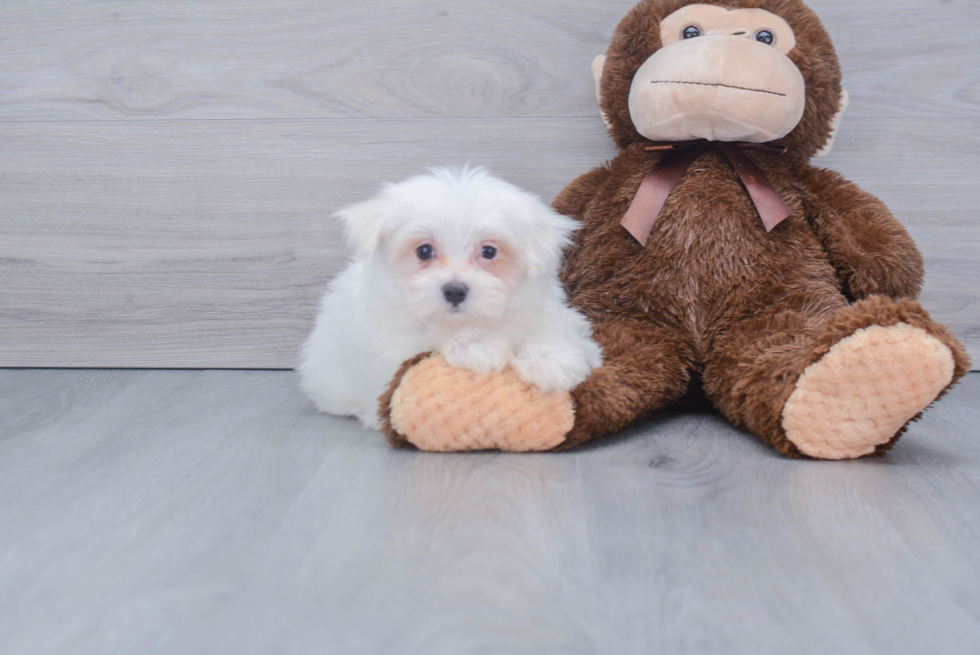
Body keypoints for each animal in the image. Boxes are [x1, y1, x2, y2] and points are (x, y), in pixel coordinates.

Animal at [300, 167, 604, 428]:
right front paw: (478, 346)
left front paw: (552, 361)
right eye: (423, 251)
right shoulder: (392, 340)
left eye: (489, 251)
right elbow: (428, 336)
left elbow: (556, 331)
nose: (455, 290)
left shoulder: (545, 311)